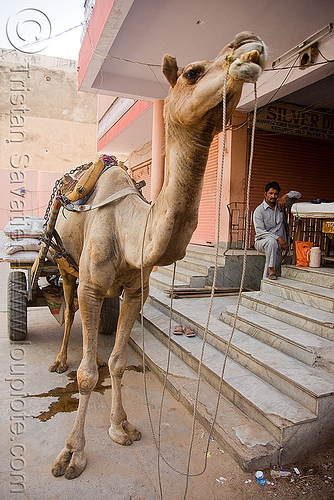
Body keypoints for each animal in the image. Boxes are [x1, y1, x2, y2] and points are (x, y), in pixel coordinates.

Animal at [51, 32, 268, 480]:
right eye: (192, 72)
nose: (249, 44)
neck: (130, 229)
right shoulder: (92, 285)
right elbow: (85, 376)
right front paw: (72, 453)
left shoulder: (136, 291)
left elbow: (118, 361)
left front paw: (121, 427)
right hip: (66, 265)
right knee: (67, 303)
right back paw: (61, 360)